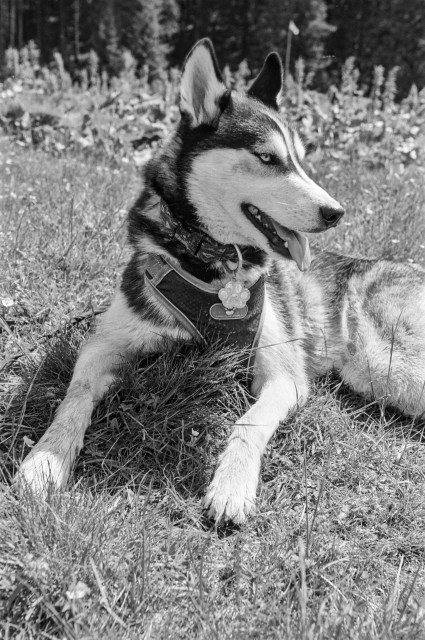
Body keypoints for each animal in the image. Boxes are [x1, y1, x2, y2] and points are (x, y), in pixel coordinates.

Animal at [18, 37, 424, 524]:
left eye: (301, 161)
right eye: (267, 158)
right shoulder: (104, 345)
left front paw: (231, 485)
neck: (212, 260)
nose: (336, 212)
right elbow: (73, 397)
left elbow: (247, 422)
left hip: (385, 364)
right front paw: (46, 461)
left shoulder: (283, 374)